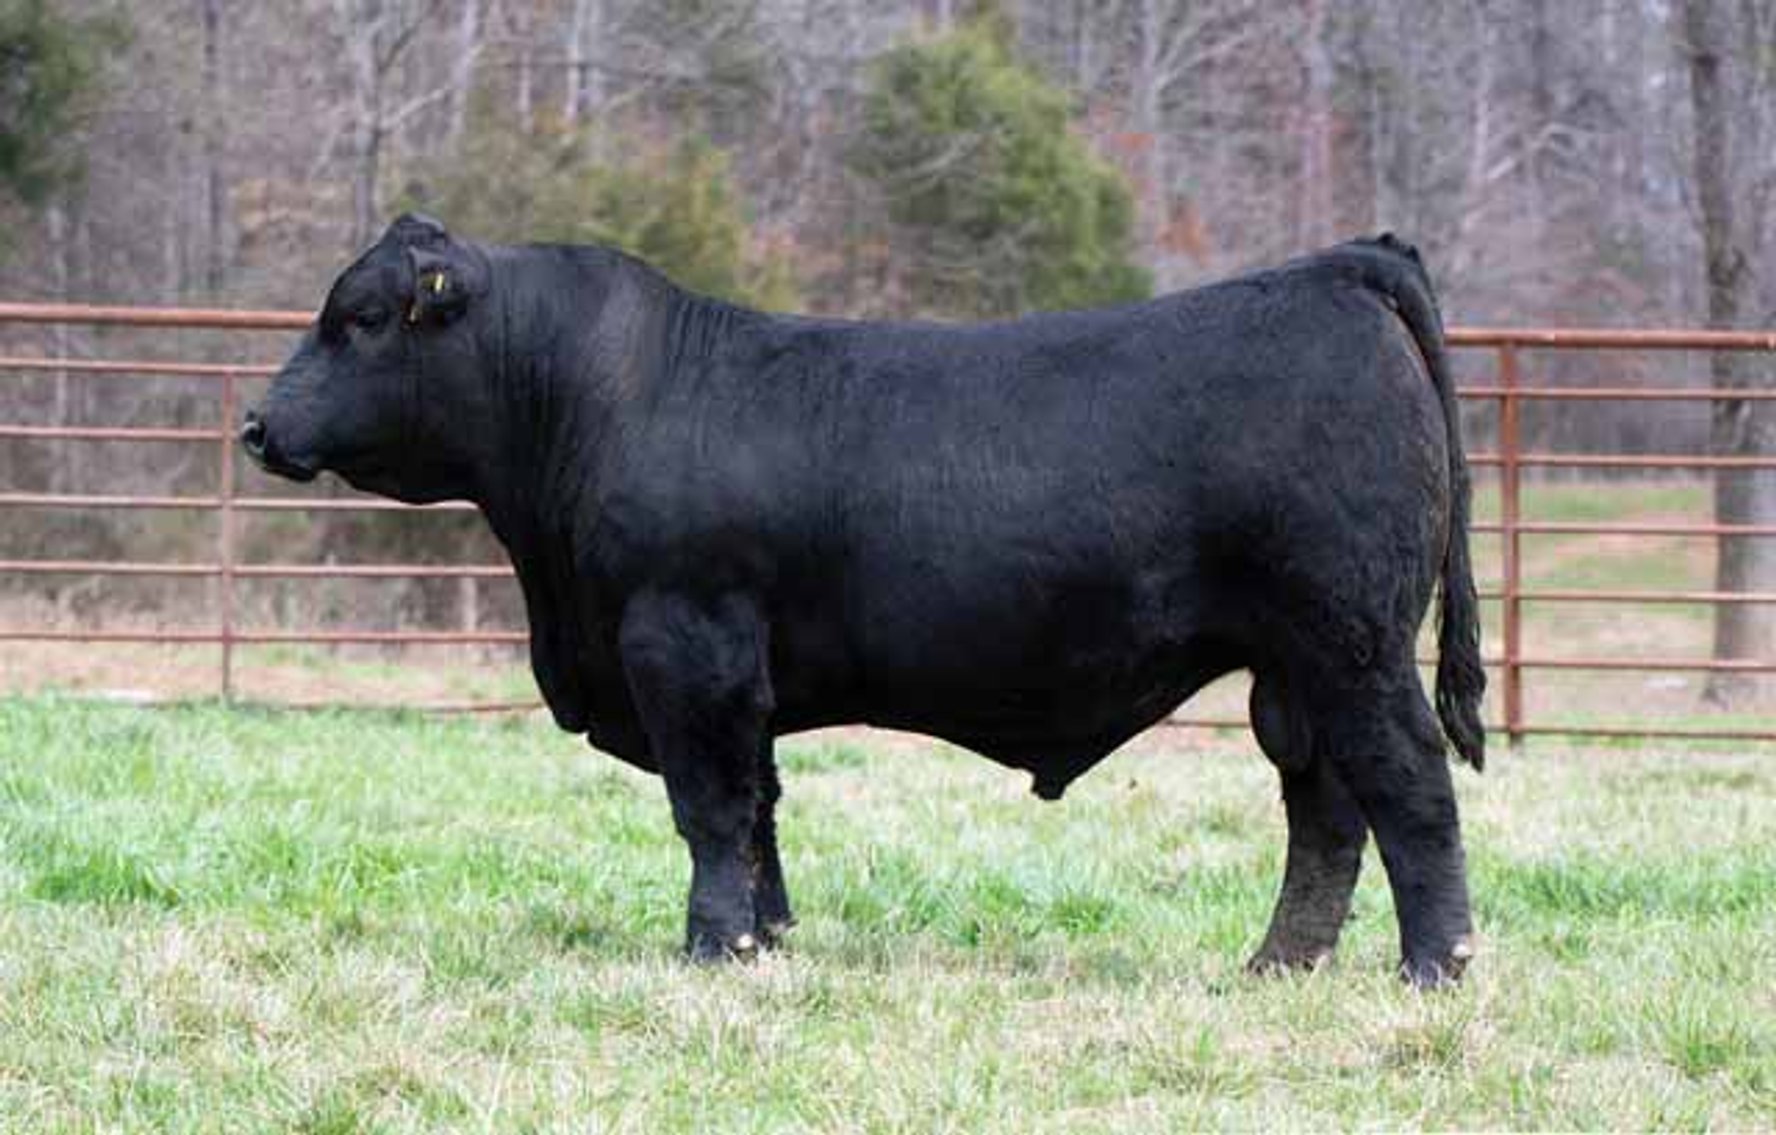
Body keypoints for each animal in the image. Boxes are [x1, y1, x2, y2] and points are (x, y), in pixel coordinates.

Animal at [243, 215, 1486, 987]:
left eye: (358, 319)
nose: (256, 424)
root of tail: (1339, 267)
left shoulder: (685, 647)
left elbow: (709, 808)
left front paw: (711, 950)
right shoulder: (738, 677)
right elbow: (759, 811)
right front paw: (769, 939)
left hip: (1353, 642)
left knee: (1409, 790)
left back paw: (1436, 966)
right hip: (1295, 666)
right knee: (1326, 811)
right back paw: (1279, 964)